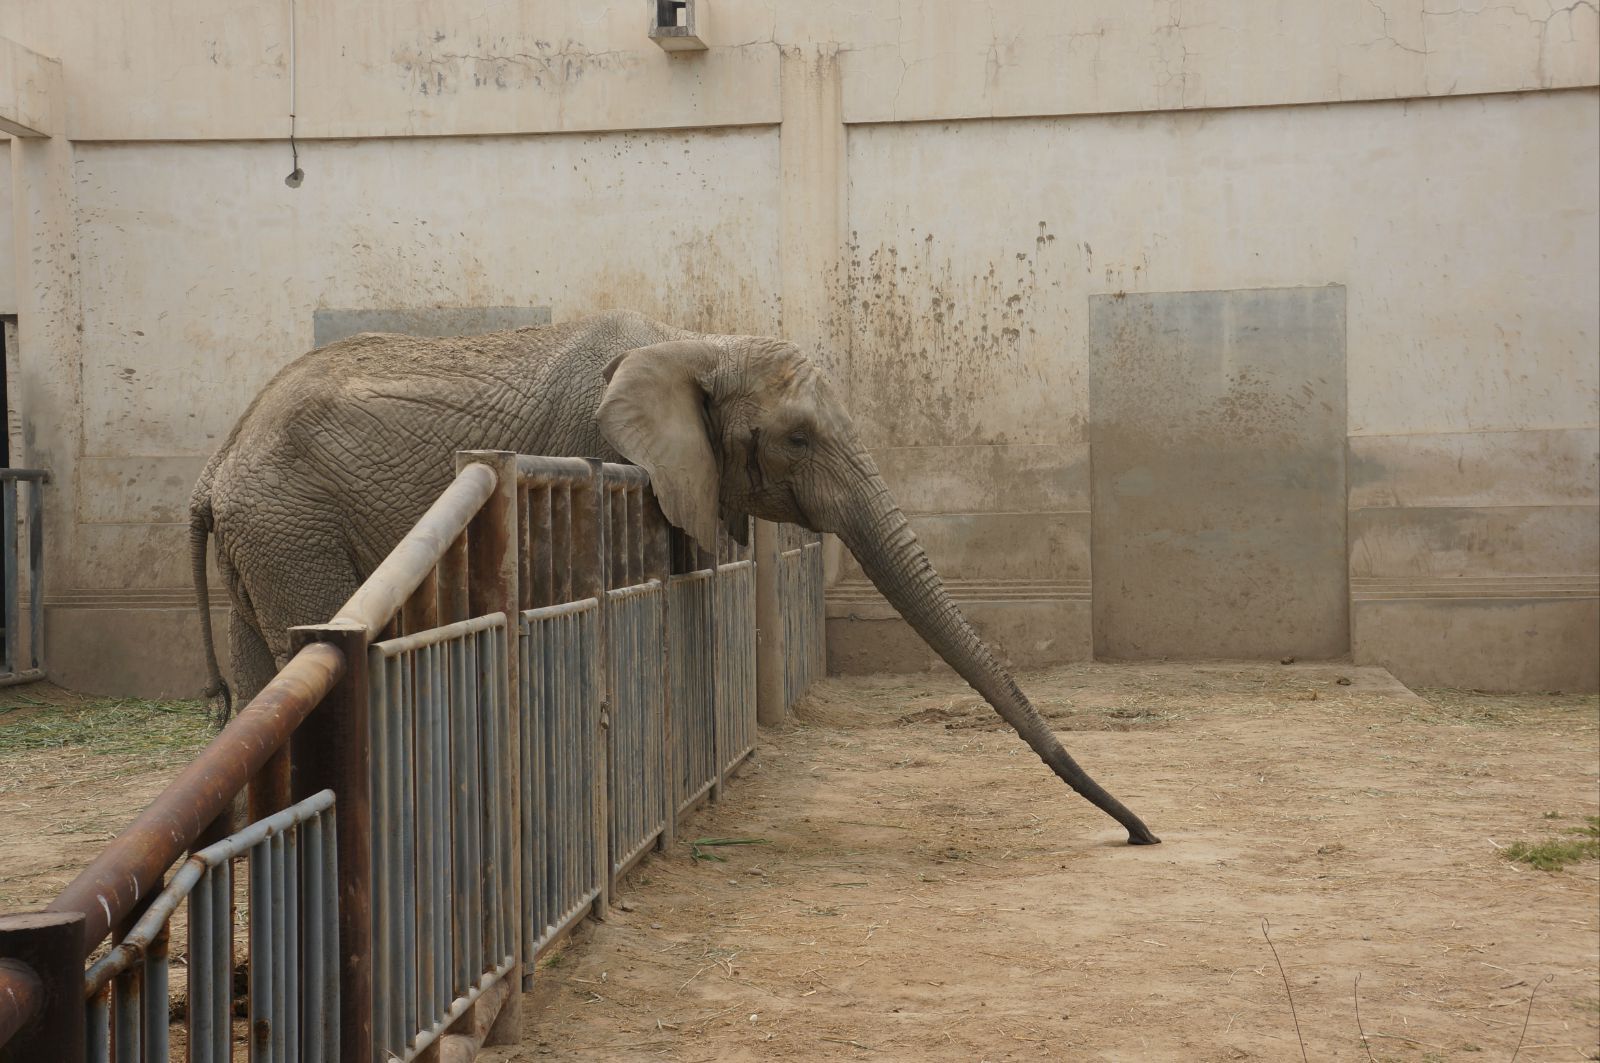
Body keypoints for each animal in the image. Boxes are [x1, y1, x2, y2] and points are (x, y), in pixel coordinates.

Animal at [190, 305, 1164, 838]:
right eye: (799, 438)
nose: (1142, 835)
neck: (697, 339)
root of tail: (218, 461)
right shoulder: (590, 457)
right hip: (292, 526)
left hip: (266, 535)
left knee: (258, 691)